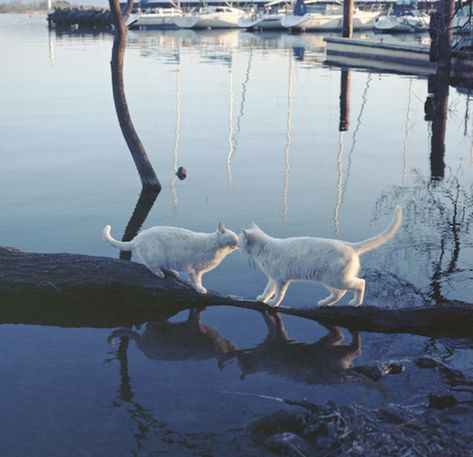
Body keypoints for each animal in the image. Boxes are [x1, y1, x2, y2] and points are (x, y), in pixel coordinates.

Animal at [102, 223, 238, 294]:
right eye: (233, 237)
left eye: (237, 238)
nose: (238, 243)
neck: (218, 250)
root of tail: (138, 237)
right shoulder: (195, 270)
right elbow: (196, 281)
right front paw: (200, 289)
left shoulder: (199, 270)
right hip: (156, 255)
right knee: (151, 266)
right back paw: (160, 273)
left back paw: (173, 272)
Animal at [238, 208, 400, 308]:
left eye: (240, 239)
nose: (237, 243)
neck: (265, 247)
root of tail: (350, 245)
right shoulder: (273, 279)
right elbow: (268, 290)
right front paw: (263, 299)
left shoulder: (281, 280)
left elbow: (279, 294)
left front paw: (273, 303)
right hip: (328, 280)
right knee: (339, 293)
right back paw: (324, 303)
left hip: (337, 279)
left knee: (360, 283)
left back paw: (356, 303)